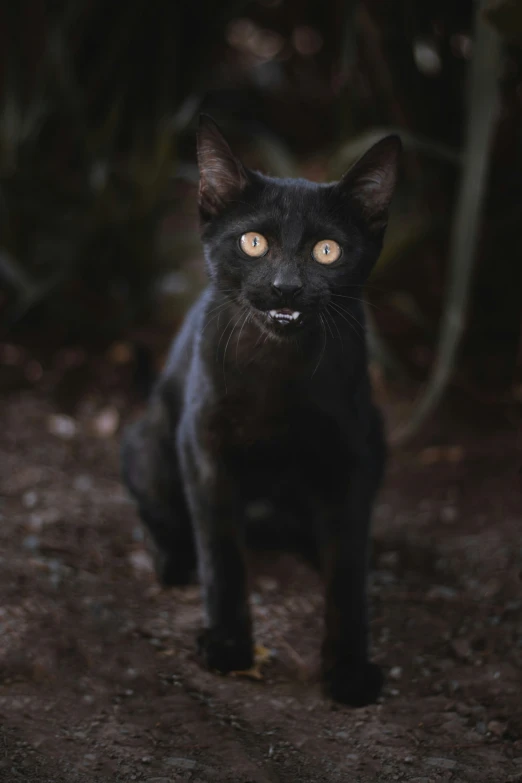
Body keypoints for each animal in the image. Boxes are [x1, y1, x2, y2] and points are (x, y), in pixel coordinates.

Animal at [121, 115, 398, 704]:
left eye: (326, 251)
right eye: (253, 243)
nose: (284, 286)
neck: (279, 371)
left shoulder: (352, 455)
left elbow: (347, 570)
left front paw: (348, 670)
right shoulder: (205, 445)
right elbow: (222, 553)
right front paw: (229, 647)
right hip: (150, 439)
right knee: (156, 510)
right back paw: (173, 560)